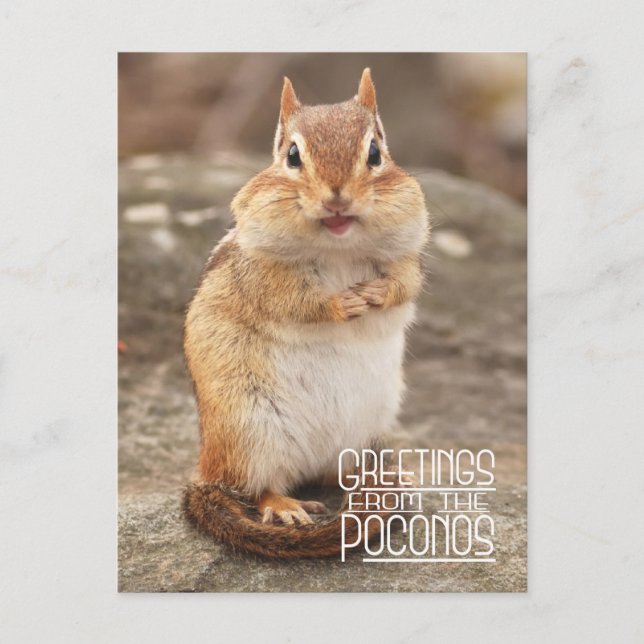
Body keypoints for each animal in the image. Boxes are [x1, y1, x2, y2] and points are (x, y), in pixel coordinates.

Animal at [183, 68, 429, 558]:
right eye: (292, 156)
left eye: (375, 153)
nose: (337, 199)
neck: (339, 246)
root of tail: (207, 472)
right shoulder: (261, 274)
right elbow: (292, 300)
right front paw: (341, 303)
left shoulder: (408, 254)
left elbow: (406, 283)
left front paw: (376, 294)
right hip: (250, 432)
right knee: (261, 487)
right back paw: (285, 506)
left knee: (334, 474)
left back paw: (383, 478)